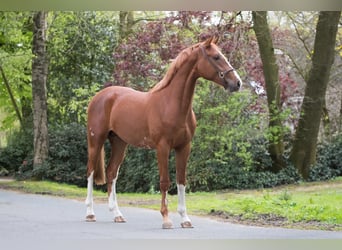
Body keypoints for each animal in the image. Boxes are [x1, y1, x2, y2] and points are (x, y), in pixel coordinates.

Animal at [84, 36, 242, 229]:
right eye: (216, 57)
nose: (237, 83)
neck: (171, 104)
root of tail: (99, 97)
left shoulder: (184, 147)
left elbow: (181, 181)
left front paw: (185, 219)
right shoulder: (162, 147)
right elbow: (165, 181)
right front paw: (166, 218)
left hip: (120, 143)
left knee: (112, 173)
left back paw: (117, 214)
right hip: (96, 141)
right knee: (90, 172)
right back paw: (90, 213)